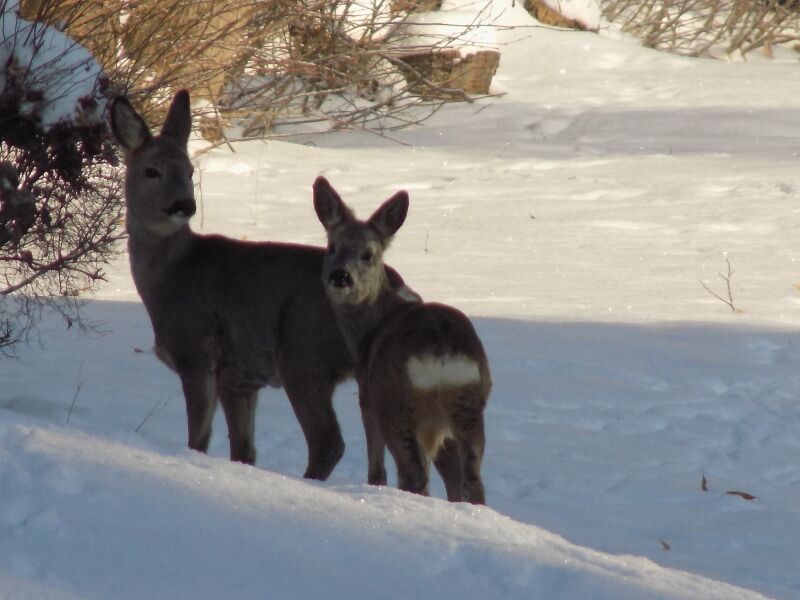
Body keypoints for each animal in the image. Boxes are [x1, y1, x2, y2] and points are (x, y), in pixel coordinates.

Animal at [108, 90, 416, 478]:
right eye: (152, 171)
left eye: (189, 170)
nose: (184, 205)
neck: (172, 276)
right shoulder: (239, 378)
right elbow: (244, 451)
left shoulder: (197, 352)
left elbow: (198, 441)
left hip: (303, 356)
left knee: (329, 442)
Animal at [310, 177, 488, 502]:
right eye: (332, 247)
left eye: (368, 254)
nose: (340, 276)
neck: (369, 328)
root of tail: (439, 350)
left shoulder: (367, 398)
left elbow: (376, 470)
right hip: (467, 404)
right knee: (471, 479)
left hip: (398, 404)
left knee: (413, 474)